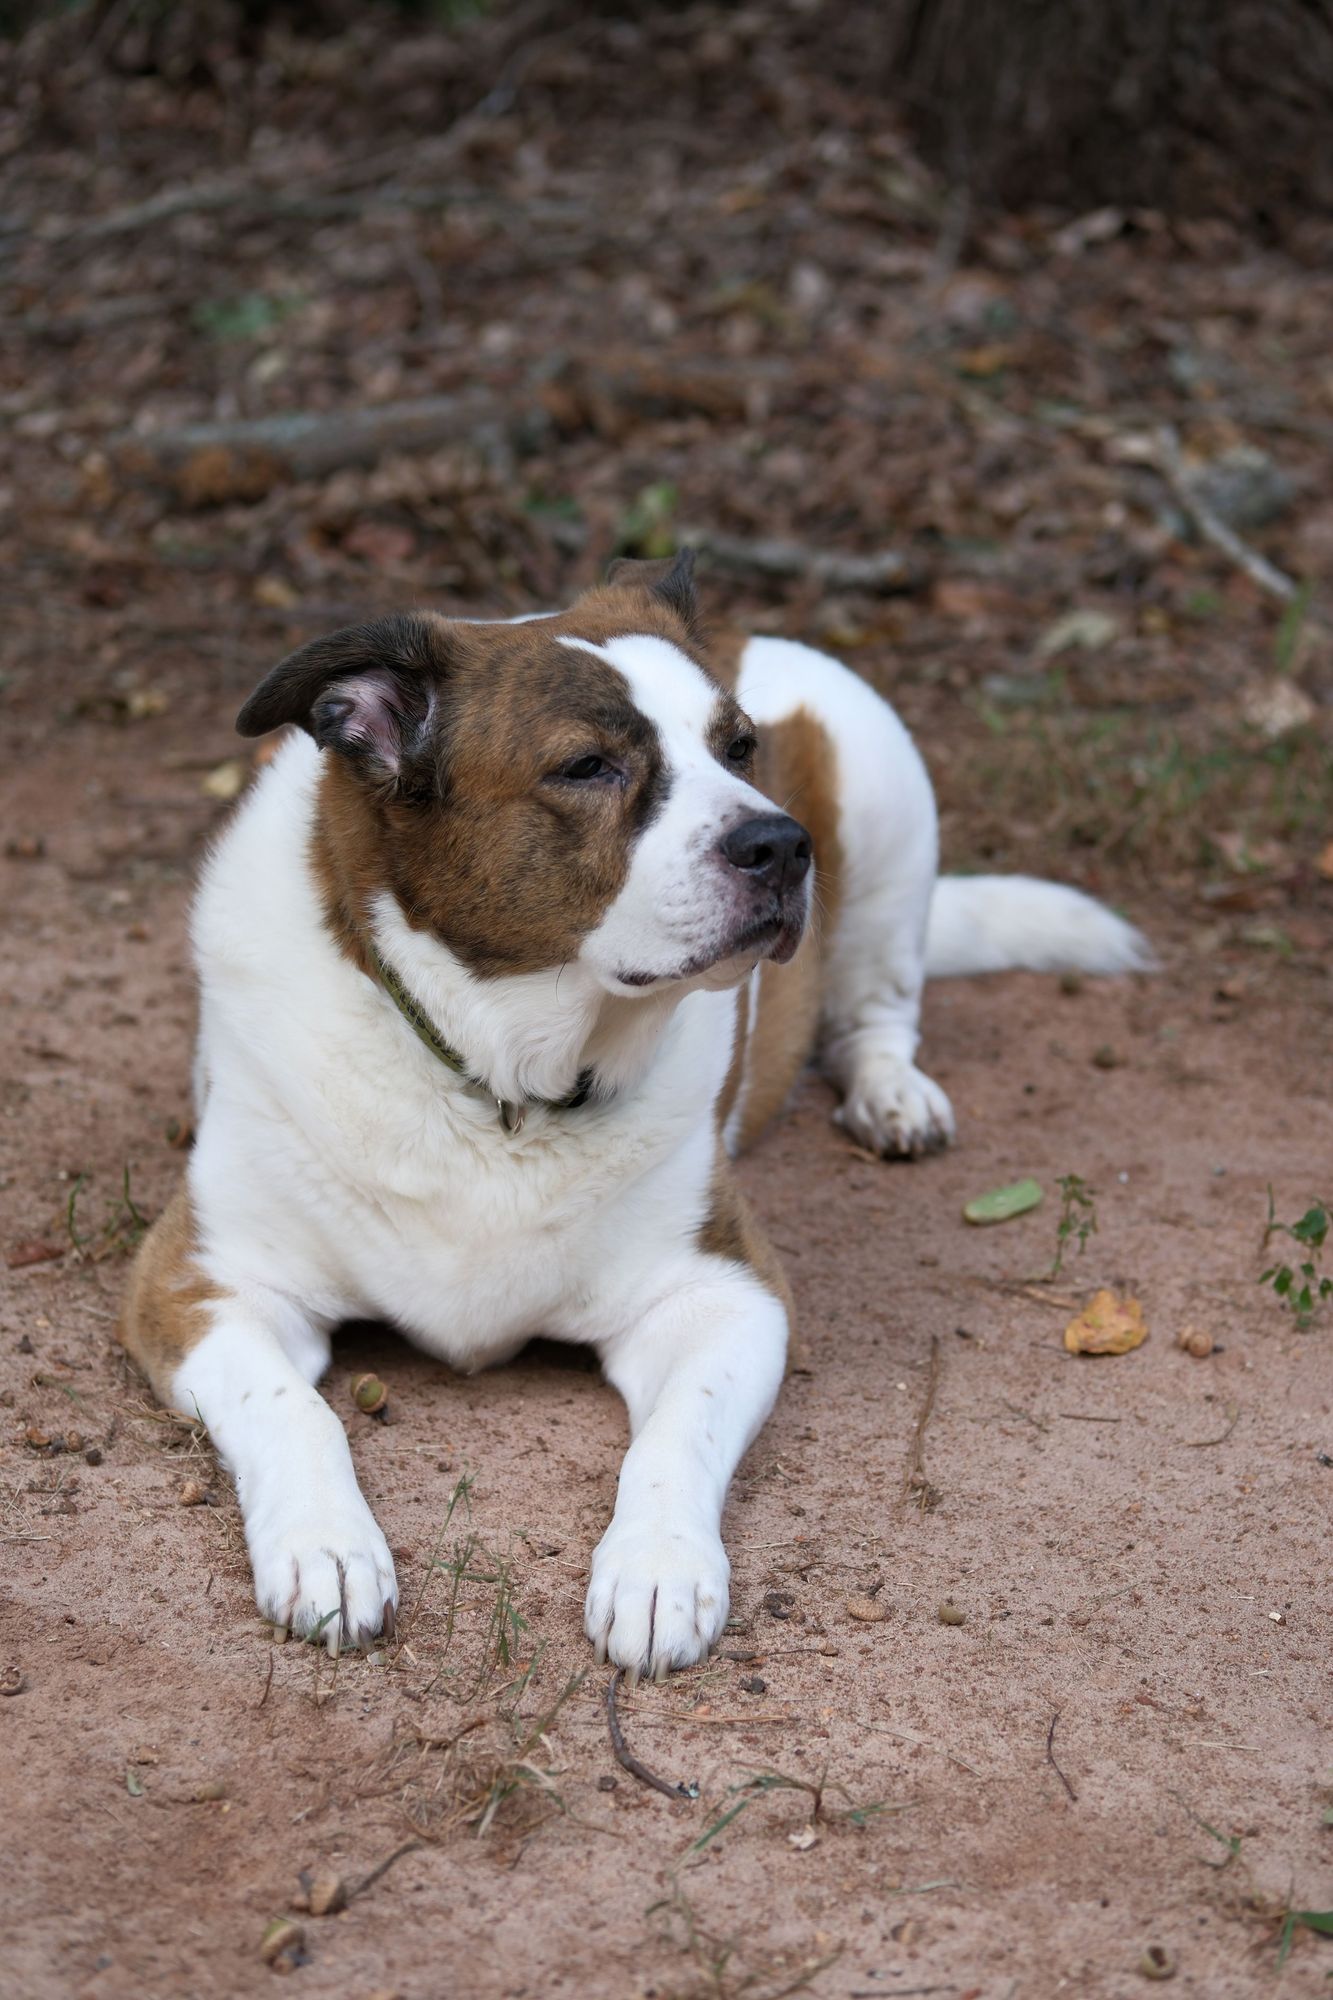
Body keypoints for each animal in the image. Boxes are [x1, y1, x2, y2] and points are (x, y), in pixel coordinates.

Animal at [119, 556, 1144, 1680]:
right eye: (587, 767)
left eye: (739, 749)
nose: (780, 841)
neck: (496, 1072)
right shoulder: (202, 1281)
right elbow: (294, 1411)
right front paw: (326, 1544)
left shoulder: (725, 1293)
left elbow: (673, 1433)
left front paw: (657, 1567)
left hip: (884, 803)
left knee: (877, 1002)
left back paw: (890, 1092)